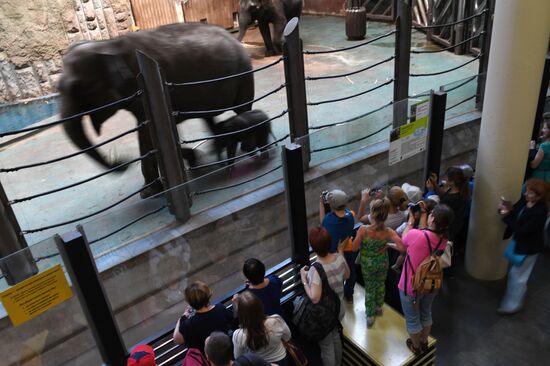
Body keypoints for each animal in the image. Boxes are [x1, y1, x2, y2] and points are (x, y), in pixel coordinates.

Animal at [59, 21, 256, 199]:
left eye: (81, 88)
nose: (121, 162)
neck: (109, 45)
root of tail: (234, 37)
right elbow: (148, 131)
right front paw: (191, 160)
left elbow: (148, 134)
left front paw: (149, 192)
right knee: (208, 117)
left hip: (244, 75)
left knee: (243, 108)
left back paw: (246, 147)